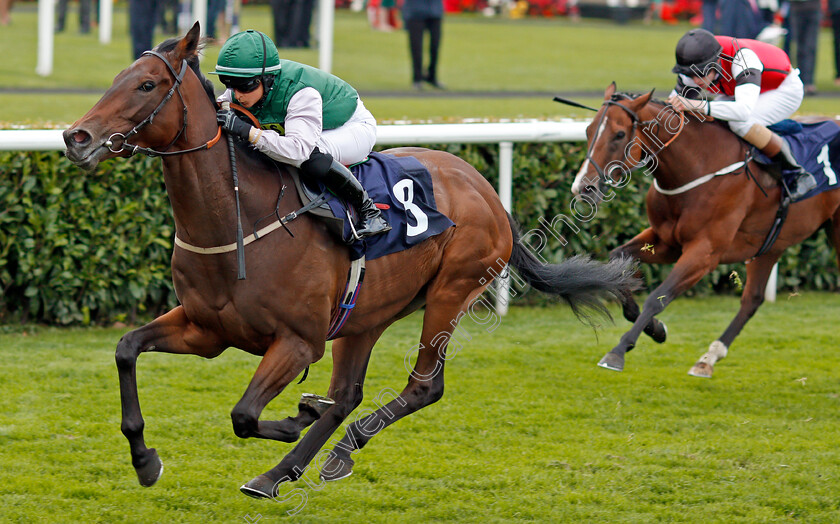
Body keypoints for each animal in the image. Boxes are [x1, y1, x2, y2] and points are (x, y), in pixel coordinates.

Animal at [62, 25, 636, 500]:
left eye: (146, 85)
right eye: (117, 79)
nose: (76, 137)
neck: (239, 221)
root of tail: (485, 189)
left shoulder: (298, 341)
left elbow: (245, 415)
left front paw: (293, 419)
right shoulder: (207, 329)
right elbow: (126, 348)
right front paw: (144, 460)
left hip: (451, 291)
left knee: (422, 386)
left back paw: (300, 461)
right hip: (365, 314)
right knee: (346, 396)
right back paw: (300, 463)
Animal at [576, 82, 840, 376]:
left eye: (619, 134)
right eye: (588, 130)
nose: (583, 188)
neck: (699, 166)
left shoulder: (705, 252)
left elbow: (658, 297)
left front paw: (618, 351)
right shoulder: (667, 241)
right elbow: (618, 261)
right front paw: (657, 329)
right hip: (771, 243)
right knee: (752, 299)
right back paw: (708, 359)